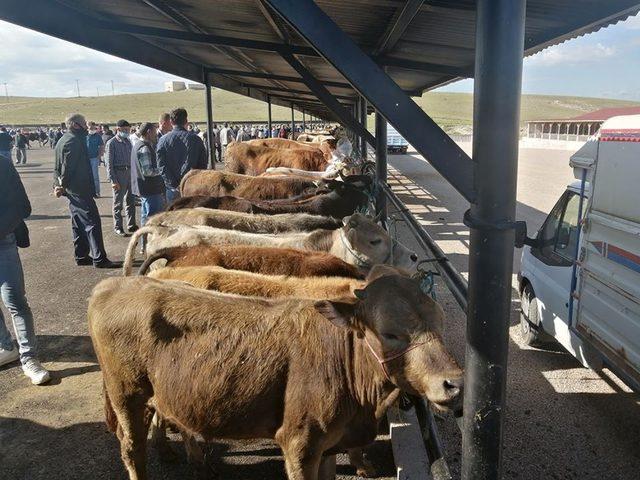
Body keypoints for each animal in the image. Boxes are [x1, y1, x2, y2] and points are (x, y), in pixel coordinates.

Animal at [87, 268, 462, 478]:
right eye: (390, 334)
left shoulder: (328, 445)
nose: (454, 384)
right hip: (126, 396)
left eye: (441, 322)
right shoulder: (299, 443)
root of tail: (114, 284)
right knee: (131, 449)